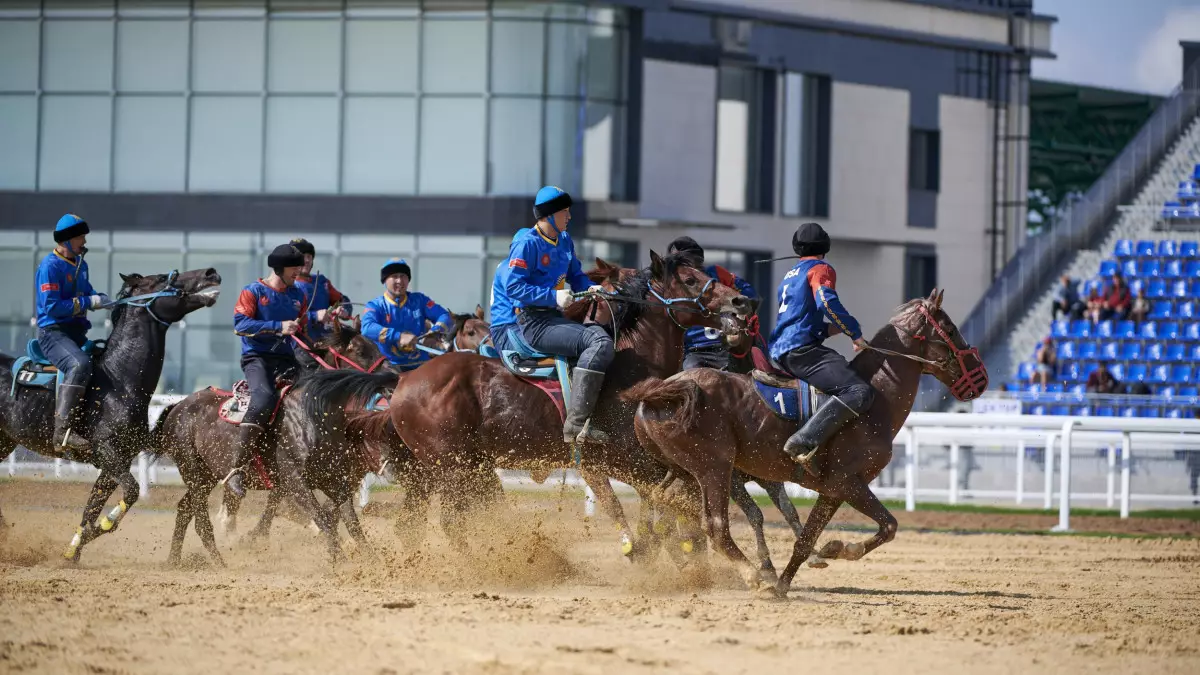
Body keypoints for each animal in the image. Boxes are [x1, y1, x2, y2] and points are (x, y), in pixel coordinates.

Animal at [0, 265, 223, 559]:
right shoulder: (107, 452)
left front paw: (74, 551)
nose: (211, 272)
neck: (117, 381)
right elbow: (131, 491)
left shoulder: (116, 461)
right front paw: (102, 527)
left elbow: (91, 509)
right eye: (164, 278)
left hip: (4, 441)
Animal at [298, 252, 748, 557]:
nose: (742, 302)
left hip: (437, 471)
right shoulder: (613, 461)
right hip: (452, 468)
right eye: (689, 278)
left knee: (413, 525)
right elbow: (643, 504)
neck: (630, 370)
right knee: (448, 522)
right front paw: (648, 549)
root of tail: (404, 380)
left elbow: (666, 500)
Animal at [624, 289, 988, 593]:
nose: (981, 378)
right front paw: (840, 549)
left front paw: (789, 580)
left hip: (684, 470)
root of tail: (667, 389)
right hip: (715, 469)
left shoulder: (833, 491)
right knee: (714, 526)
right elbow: (889, 525)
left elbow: (806, 538)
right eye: (951, 329)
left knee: (662, 499)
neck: (875, 402)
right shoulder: (848, 482)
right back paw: (752, 574)